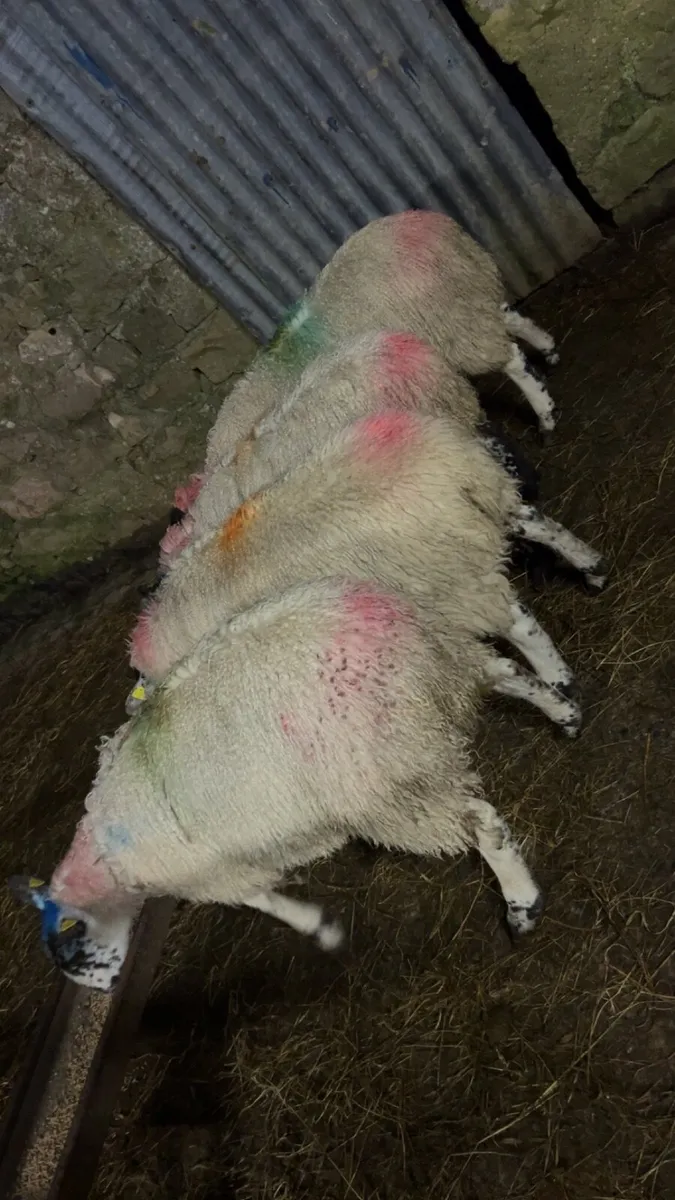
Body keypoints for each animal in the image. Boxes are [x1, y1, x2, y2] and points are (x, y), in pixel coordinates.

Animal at [49, 578, 544, 991]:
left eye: (78, 949)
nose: (107, 985)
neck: (104, 859)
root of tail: (390, 632)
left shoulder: (216, 873)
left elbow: (261, 900)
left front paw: (315, 926)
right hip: (449, 667)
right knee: (508, 672)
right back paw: (561, 712)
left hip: (388, 787)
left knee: (482, 822)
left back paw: (522, 905)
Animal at [130, 410, 581, 737]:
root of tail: (451, 471)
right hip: (477, 529)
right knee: (536, 529)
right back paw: (589, 571)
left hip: (446, 579)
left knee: (515, 623)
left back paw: (561, 694)